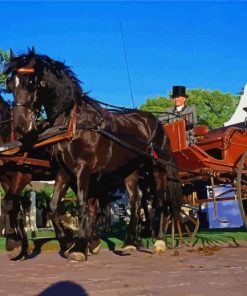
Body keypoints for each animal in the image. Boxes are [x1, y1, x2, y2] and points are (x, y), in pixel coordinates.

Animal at [3, 48, 181, 262]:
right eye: (10, 84)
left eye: (31, 82)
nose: (20, 125)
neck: (72, 122)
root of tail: (156, 122)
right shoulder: (63, 171)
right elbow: (53, 206)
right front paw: (67, 243)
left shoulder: (83, 170)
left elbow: (82, 205)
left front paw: (79, 247)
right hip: (130, 171)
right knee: (135, 203)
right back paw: (129, 242)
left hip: (157, 169)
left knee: (160, 202)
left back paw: (160, 241)